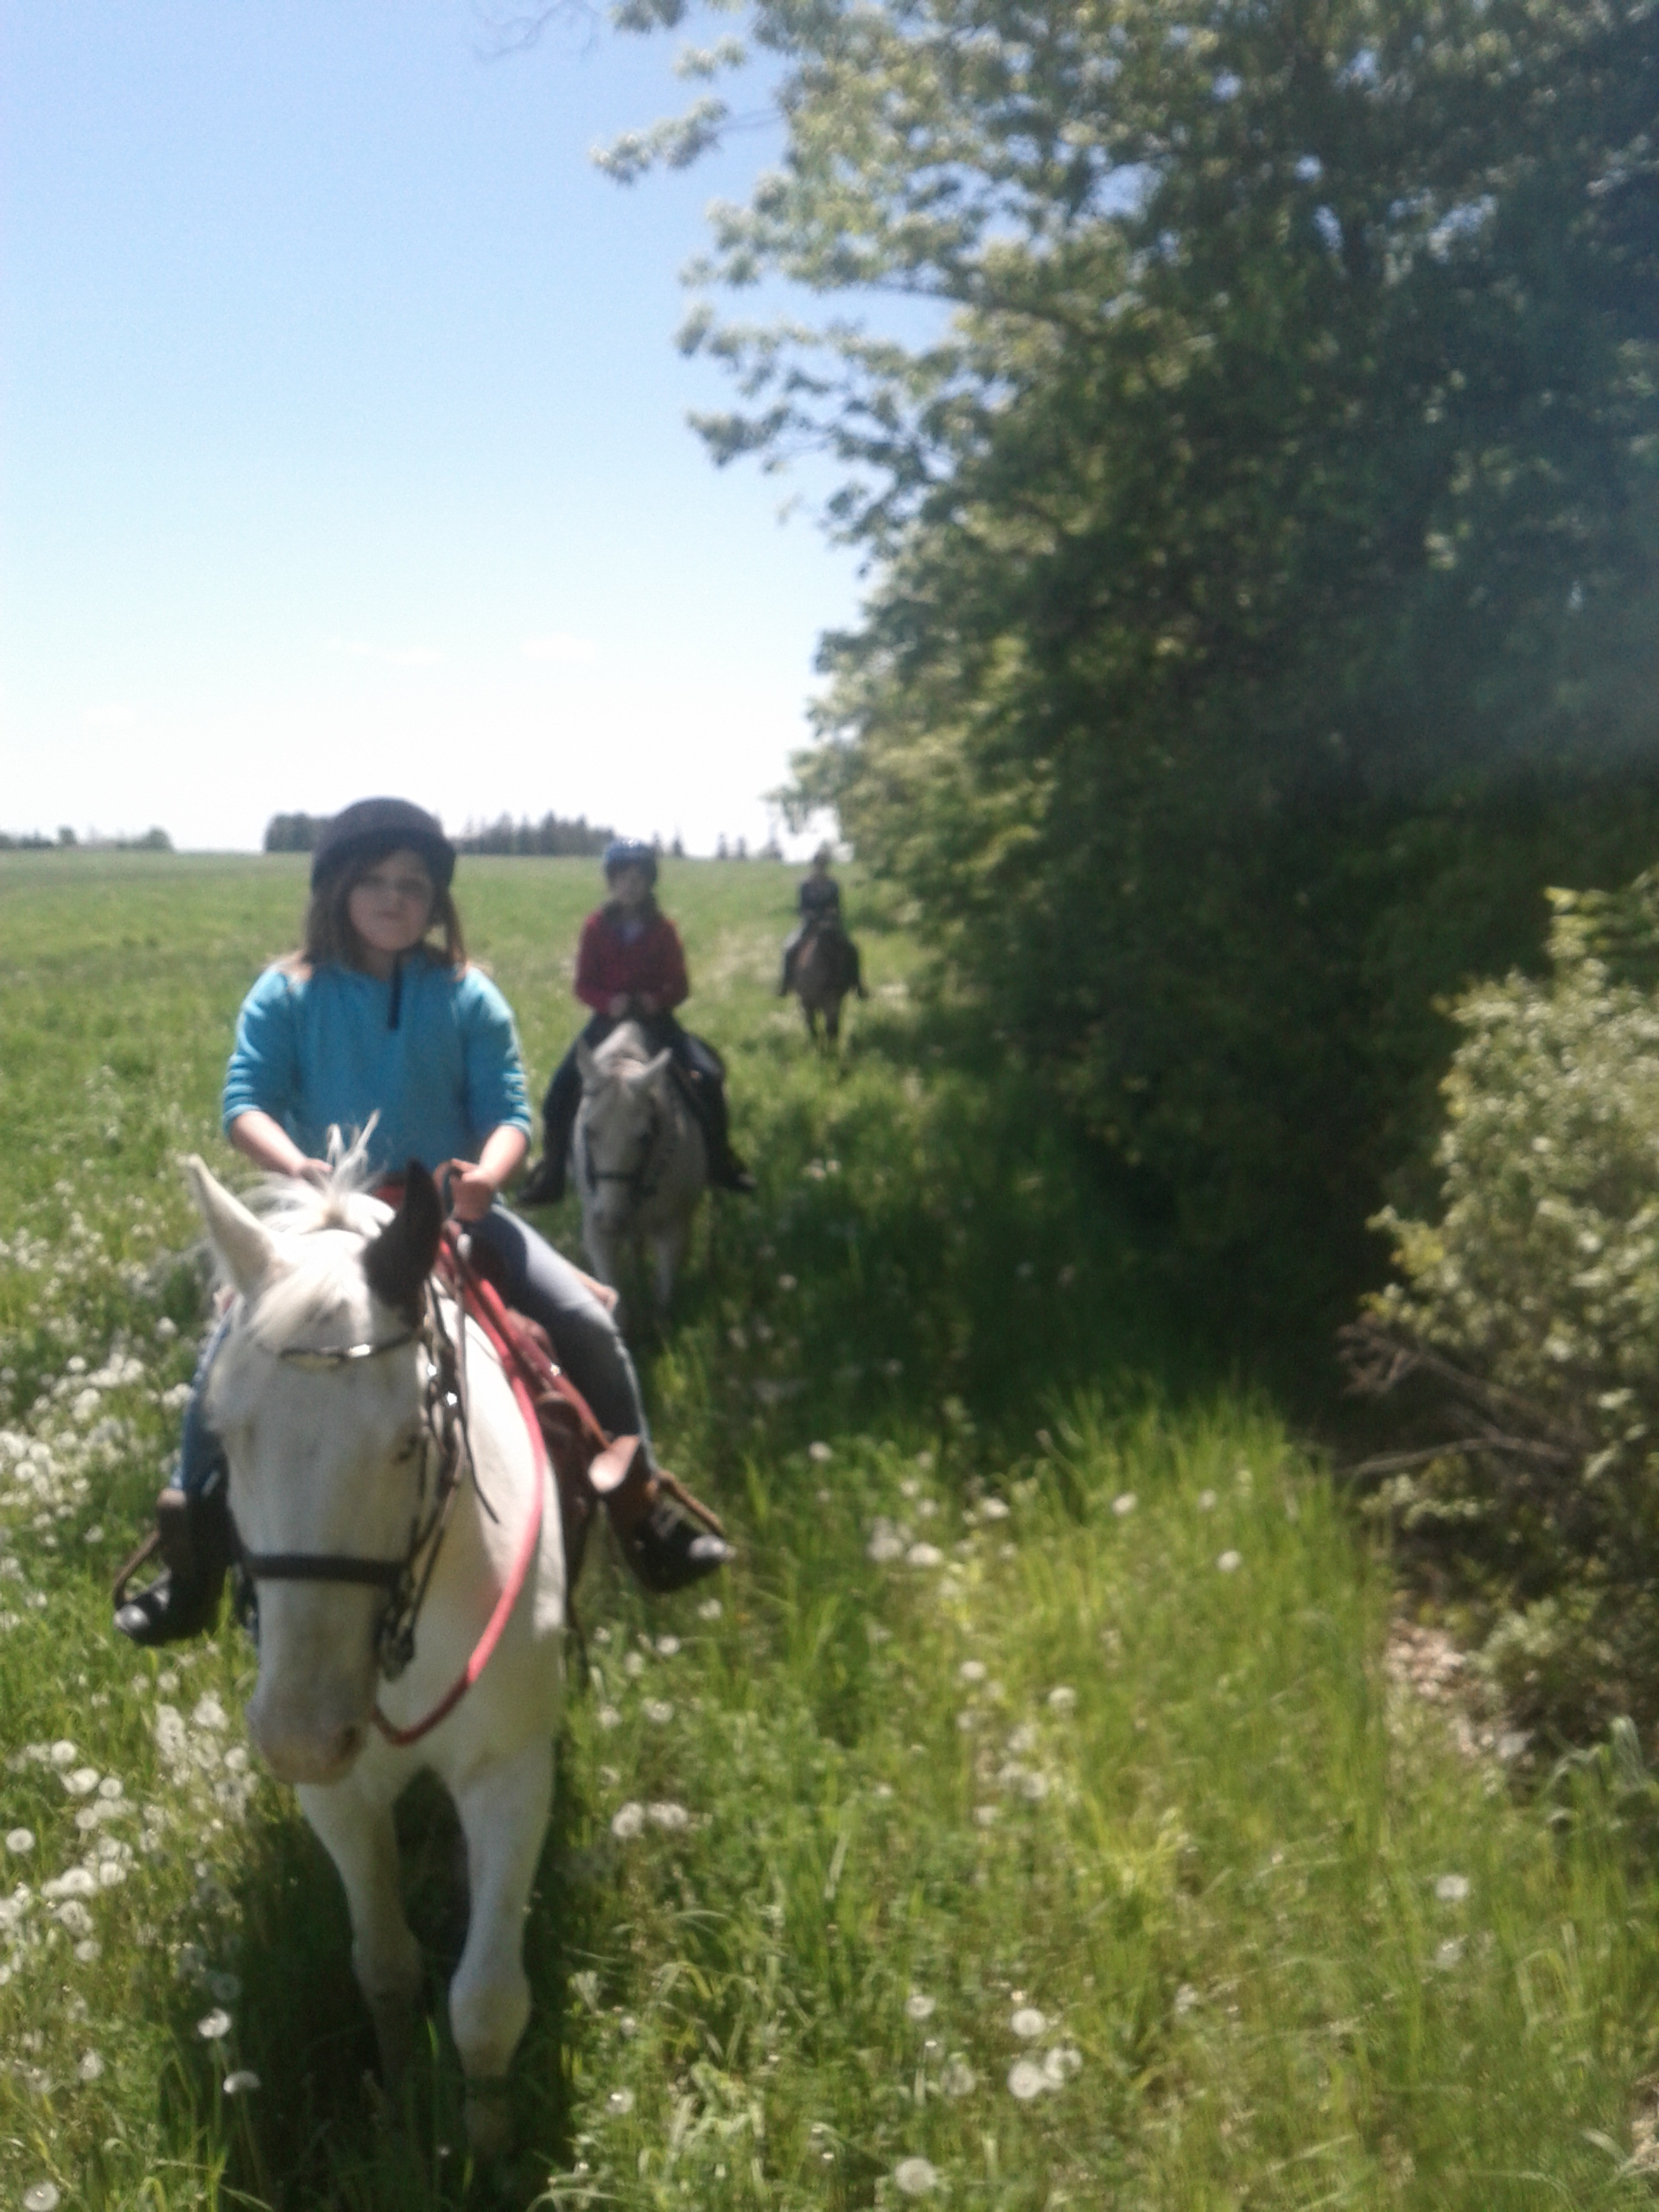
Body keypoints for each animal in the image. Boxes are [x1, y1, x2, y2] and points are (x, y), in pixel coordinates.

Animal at [184, 1153, 570, 2155]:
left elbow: (485, 2002)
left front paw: (485, 2148)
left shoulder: (512, 1773)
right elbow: (384, 1964)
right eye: (226, 1433)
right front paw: (399, 2100)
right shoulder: (339, 1796)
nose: (301, 1736)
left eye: (408, 1441)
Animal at [573, 1019, 707, 1319]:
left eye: (645, 1137)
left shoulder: (671, 1227)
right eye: (588, 1130)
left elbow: (664, 1298)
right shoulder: (596, 1234)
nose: (610, 1221)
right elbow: (615, 1302)